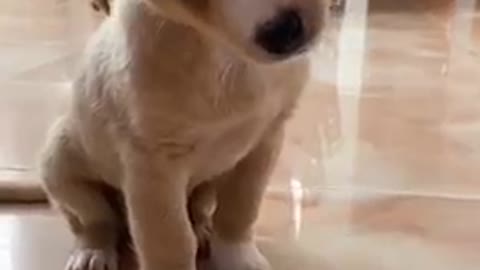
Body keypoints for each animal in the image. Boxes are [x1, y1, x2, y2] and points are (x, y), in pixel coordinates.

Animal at [42, 0, 326, 270]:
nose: (284, 32)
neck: (223, 52)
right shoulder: (153, 167)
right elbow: (172, 241)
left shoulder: (264, 143)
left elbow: (240, 209)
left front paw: (239, 258)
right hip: (60, 166)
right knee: (95, 221)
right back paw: (92, 251)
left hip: (209, 182)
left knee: (197, 210)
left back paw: (201, 230)